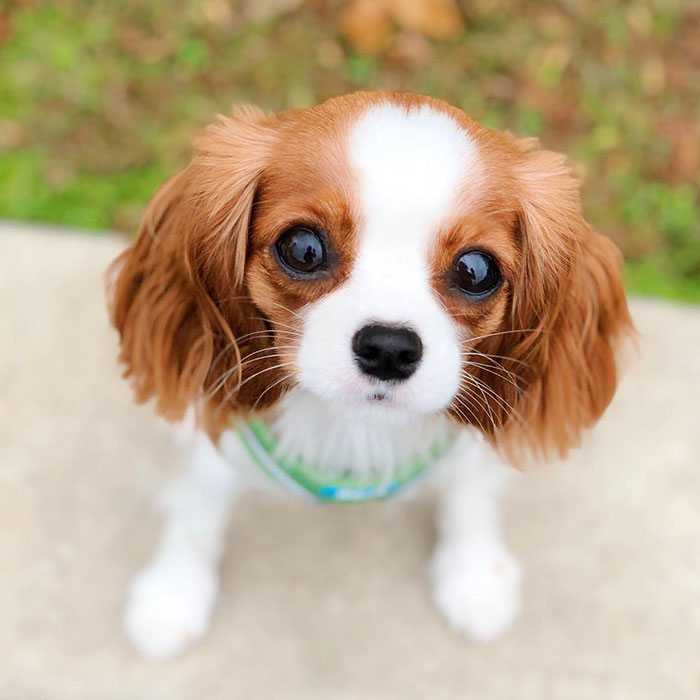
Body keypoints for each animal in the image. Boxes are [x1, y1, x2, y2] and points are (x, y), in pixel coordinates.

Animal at [108, 90, 636, 660]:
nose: (389, 347)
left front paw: (474, 577)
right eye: (304, 247)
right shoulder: (216, 443)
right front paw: (173, 595)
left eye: (476, 270)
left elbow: (470, 493)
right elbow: (195, 514)